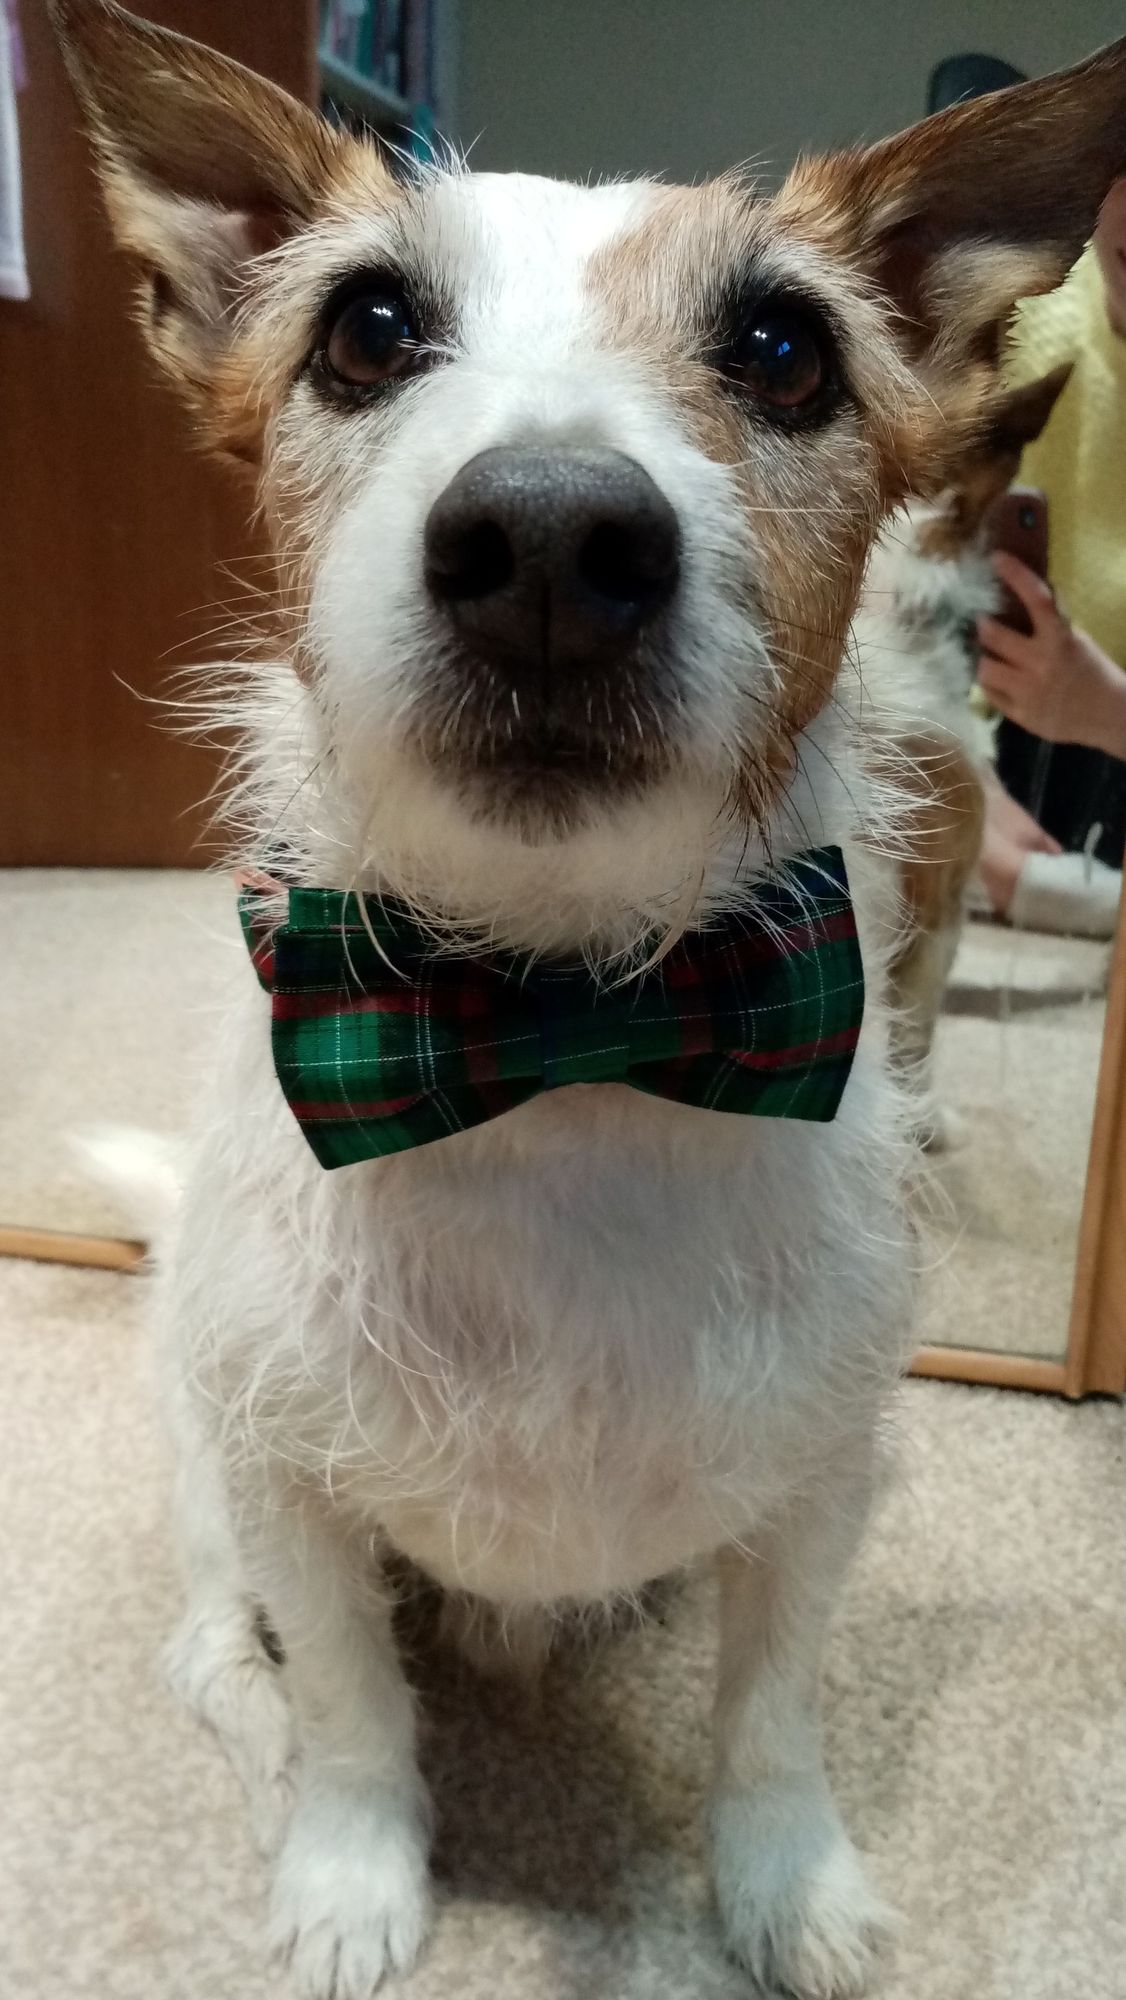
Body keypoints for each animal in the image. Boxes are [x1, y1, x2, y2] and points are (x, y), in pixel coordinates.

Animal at [50, 7, 1126, 1992]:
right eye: (366, 329)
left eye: (782, 349)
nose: (549, 545)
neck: (559, 1020)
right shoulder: (295, 1499)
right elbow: (353, 1709)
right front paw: (350, 1877)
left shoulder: (819, 1488)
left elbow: (769, 1720)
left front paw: (790, 1891)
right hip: (209, 1477)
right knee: (225, 1656)